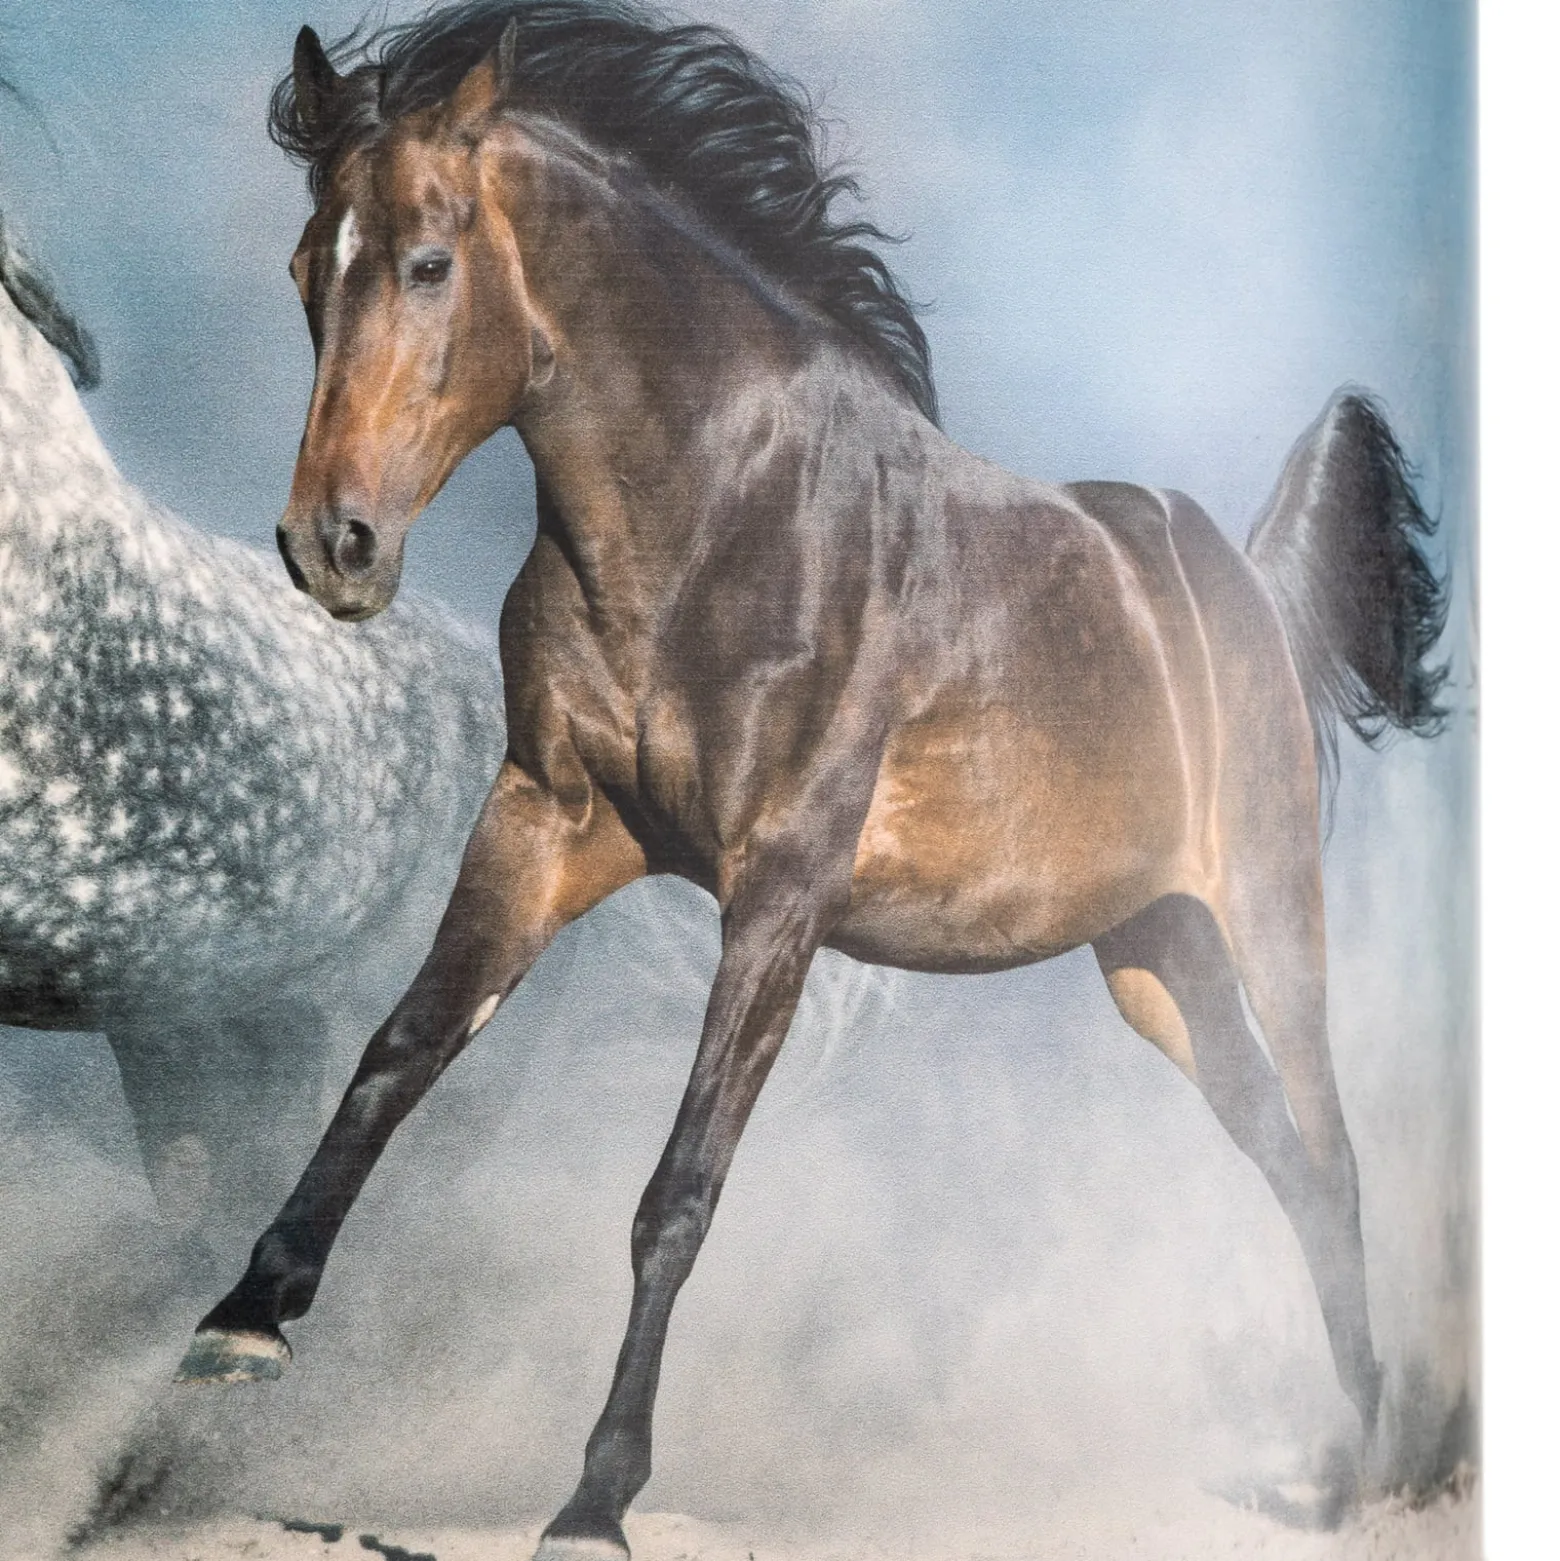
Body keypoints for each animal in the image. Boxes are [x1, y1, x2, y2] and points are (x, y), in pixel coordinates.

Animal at [177, 6, 1449, 1556]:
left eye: (428, 260)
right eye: (310, 267)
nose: (331, 546)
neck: (719, 516)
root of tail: (1250, 588)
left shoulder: (779, 896)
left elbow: (679, 1192)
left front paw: (595, 1496)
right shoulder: (545, 820)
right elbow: (395, 1053)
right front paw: (247, 1316)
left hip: (1267, 917)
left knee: (1331, 1156)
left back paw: (1367, 1459)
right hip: (1159, 960)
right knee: (1275, 1145)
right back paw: (1342, 1447)